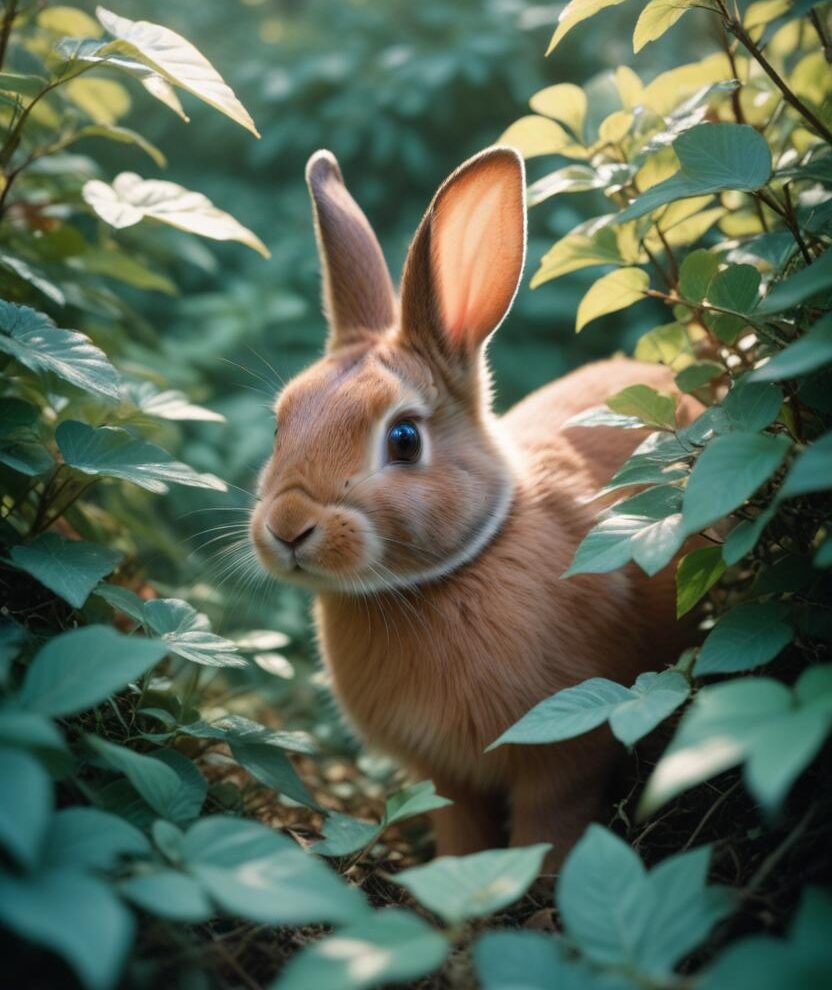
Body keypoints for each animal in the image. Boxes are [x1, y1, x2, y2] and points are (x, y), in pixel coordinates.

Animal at [249, 146, 698, 867]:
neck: (444, 576)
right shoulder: (448, 777)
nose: (288, 527)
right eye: (280, 425)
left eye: (404, 439)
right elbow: (461, 832)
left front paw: (538, 883)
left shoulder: (564, 756)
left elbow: (549, 827)